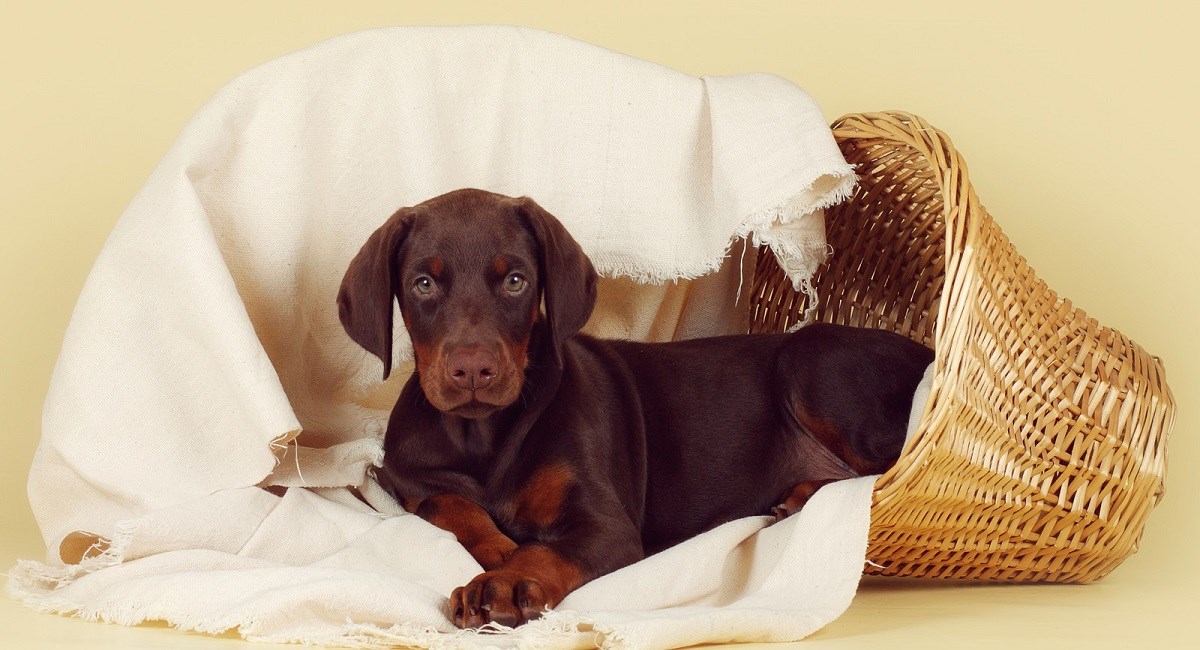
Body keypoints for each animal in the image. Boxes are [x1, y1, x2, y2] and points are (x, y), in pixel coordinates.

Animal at [338, 187, 936, 628]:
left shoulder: (606, 524)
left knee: (885, 465)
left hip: (811, 365)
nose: (472, 370)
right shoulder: (405, 476)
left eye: (515, 281)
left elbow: (546, 551)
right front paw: (496, 546)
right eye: (423, 284)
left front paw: (504, 582)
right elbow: (449, 504)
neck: (483, 435)